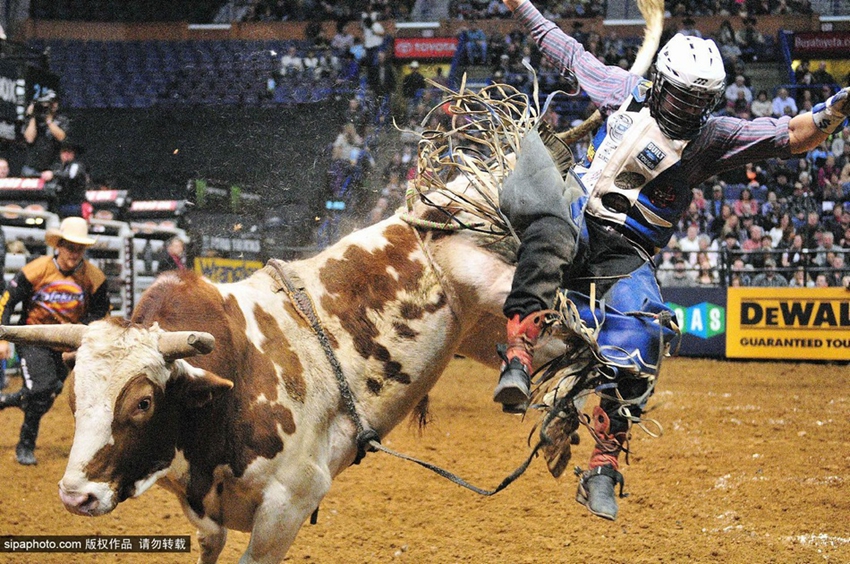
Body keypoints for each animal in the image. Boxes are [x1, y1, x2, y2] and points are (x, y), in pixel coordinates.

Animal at [0, 188, 532, 560]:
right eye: (74, 399)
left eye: (143, 402)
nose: (76, 496)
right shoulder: (202, 507)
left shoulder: (289, 504)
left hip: (492, 282)